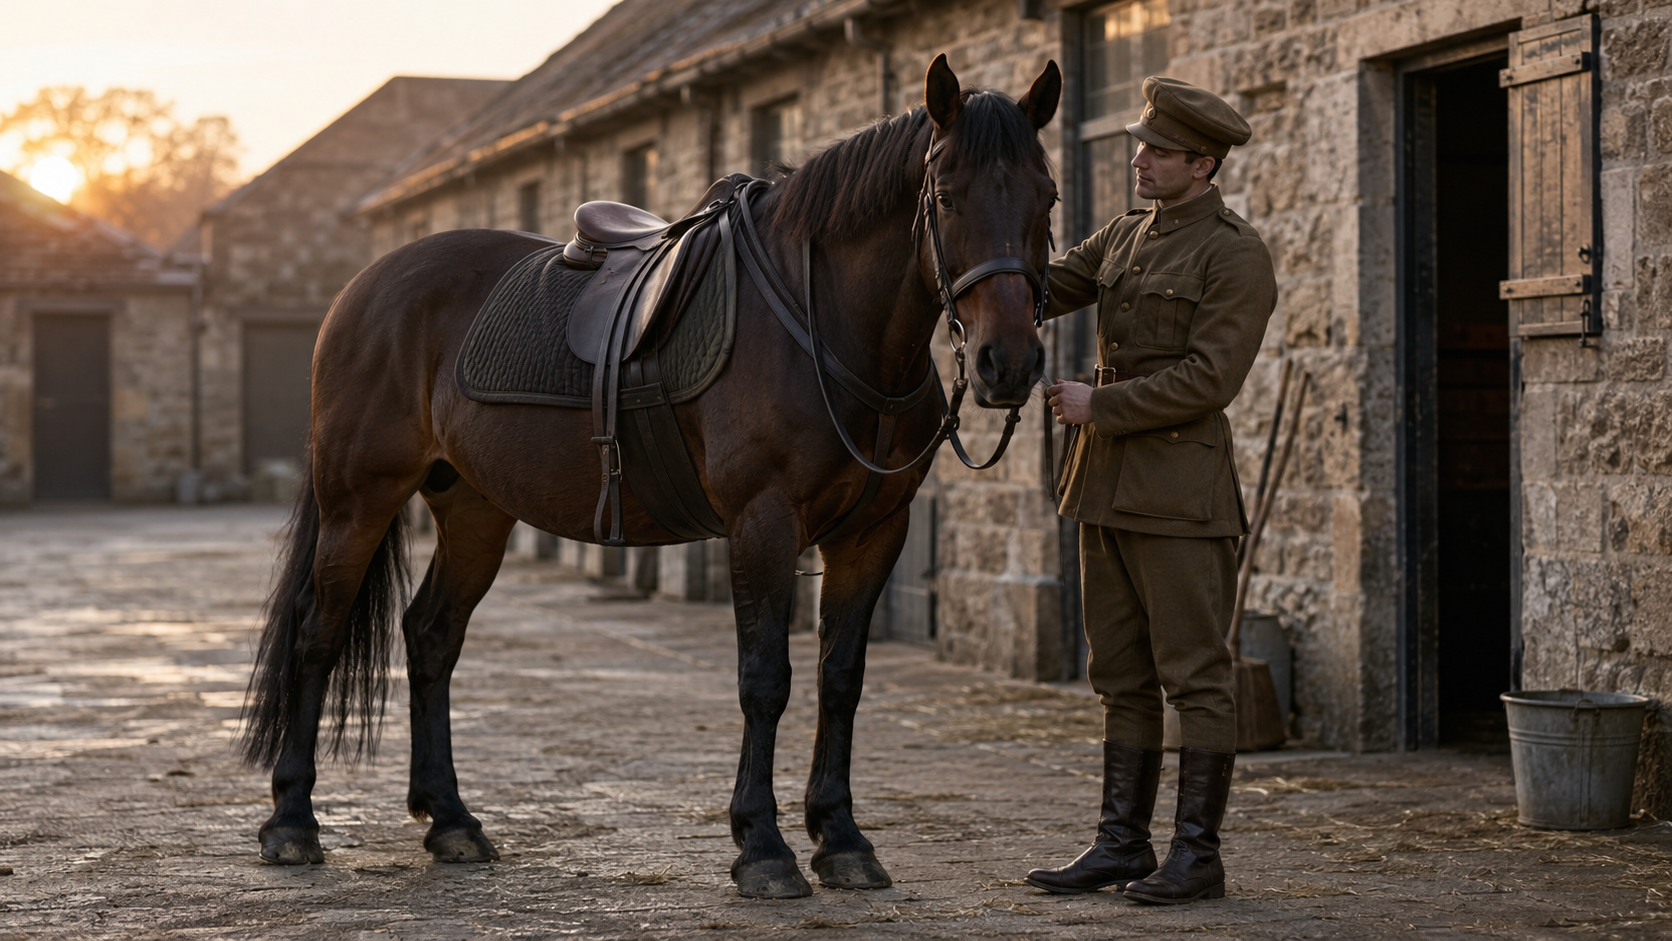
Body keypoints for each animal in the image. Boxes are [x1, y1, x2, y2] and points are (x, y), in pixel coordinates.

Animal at [240, 54, 1060, 899]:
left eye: (1048, 196)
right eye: (946, 196)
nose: (1008, 362)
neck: (821, 326)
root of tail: (364, 286)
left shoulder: (872, 534)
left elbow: (841, 678)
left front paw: (842, 837)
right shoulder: (763, 523)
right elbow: (766, 678)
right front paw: (763, 846)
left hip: (473, 509)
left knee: (432, 635)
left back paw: (452, 820)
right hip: (358, 499)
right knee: (317, 632)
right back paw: (293, 821)